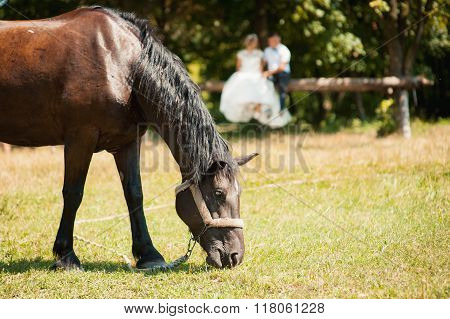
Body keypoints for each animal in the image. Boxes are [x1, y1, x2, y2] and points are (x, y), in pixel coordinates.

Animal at [0, 6, 258, 272]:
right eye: (218, 193)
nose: (235, 255)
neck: (122, 65)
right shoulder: (80, 138)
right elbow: (73, 193)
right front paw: (66, 256)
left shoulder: (128, 142)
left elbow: (134, 193)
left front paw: (149, 254)